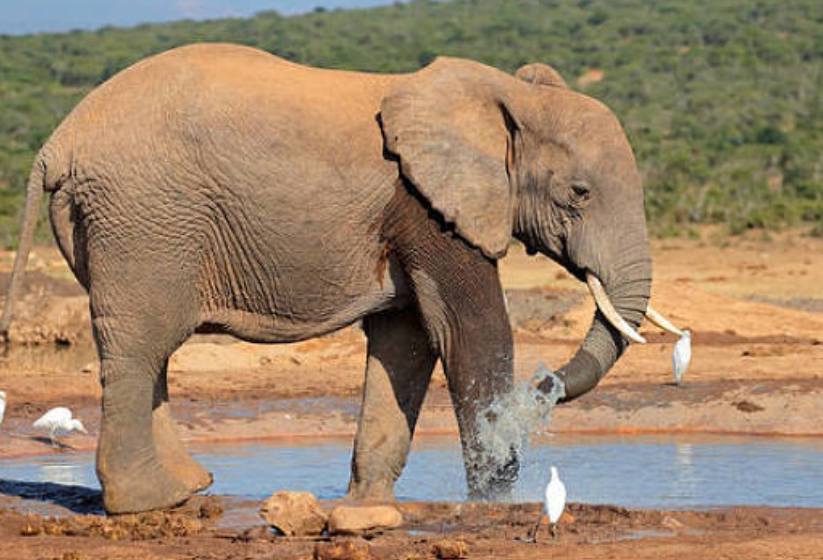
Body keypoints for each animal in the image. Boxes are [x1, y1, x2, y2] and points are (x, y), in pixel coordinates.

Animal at [0, 43, 677, 514]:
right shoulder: (426, 204)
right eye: (579, 193)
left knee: (151, 351)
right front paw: (494, 504)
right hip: (143, 217)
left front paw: (367, 506)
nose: (544, 382)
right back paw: (150, 502)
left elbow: (407, 340)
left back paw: (188, 487)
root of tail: (58, 142)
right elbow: (470, 331)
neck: (505, 94)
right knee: (141, 344)